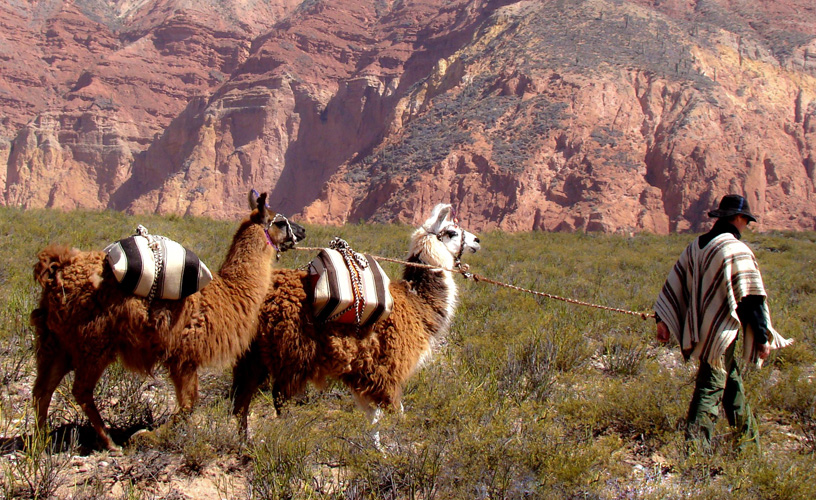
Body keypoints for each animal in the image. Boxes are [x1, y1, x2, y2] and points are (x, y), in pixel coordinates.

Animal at [30, 191, 306, 451]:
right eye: (280, 222)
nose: (303, 230)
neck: (229, 292)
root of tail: (60, 267)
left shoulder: (184, 356)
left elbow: (188, 405)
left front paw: (147, 435)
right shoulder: (184, 355)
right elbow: (188, 405)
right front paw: (145, 436)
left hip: (57, 340)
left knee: (42, 389)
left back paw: (42, 441)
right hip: (93, 341)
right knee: (80, 390)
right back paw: (109, 442)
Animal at [230, 203, 480, 439]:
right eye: (452, 232)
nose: (477, 241)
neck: (417, 303)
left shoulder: (364, 374)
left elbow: (373, 422)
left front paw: (377, 450)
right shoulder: (389, 371)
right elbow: (395, 416)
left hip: (254, 353)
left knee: (241, 400)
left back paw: (245, 442)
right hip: (291, 353)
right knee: (278, 400)